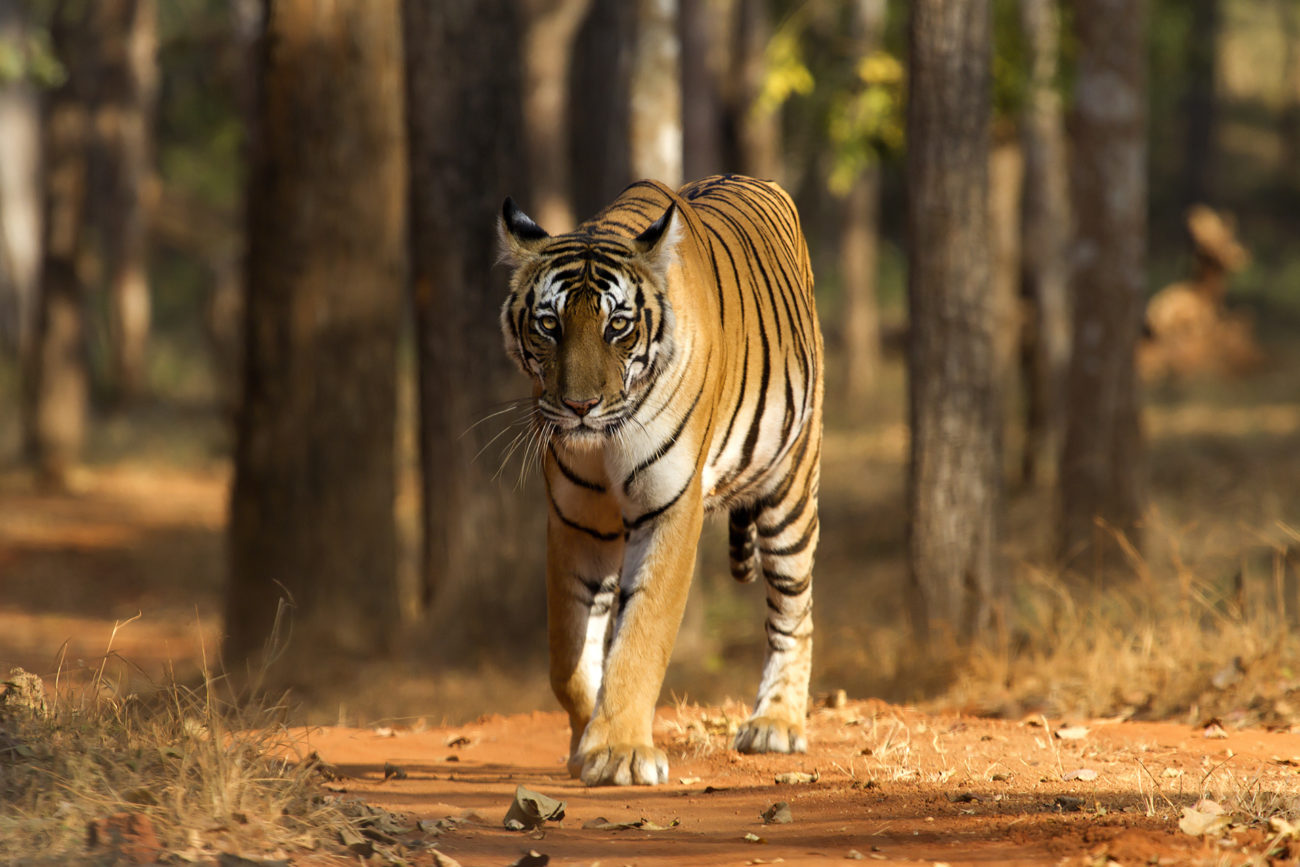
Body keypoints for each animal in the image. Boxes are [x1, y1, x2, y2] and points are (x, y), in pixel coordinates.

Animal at [496, 171, 821, 785]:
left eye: (618, 326)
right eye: (549, 325)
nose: (579, 407)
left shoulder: (670, 508)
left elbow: (642, 632)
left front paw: (619, 751)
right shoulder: (576, 520)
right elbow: (568, 653)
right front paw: (586, 741)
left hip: (791, 488)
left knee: (794, 610)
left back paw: (778, 724)